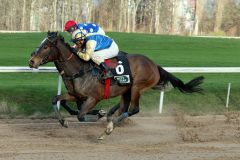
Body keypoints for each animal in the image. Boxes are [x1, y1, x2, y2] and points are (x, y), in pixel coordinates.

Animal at [29, 32, 203, 139]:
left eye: (46, 46)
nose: (31, 61)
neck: (80, 70)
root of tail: (154, 65)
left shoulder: (93, 98)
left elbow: (81, 116)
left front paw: (99, 114)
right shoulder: (76, 95)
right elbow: (57, 100)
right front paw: (63, 121)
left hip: (137, 87)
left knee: (133, 109)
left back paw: (108, 128)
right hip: (126, 90)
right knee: (123, 108)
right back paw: (109, 121)